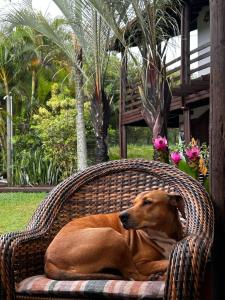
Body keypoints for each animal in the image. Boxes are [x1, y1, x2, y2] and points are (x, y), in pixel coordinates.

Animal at [44, 190, 184, 282]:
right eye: (133, 203)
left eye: (148, 202)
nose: (122, 216)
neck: (161, 235)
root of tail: (48, 260)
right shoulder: (140, 263)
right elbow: (165, 261)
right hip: (112, 236)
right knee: (132, 275)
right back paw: (154, 277)